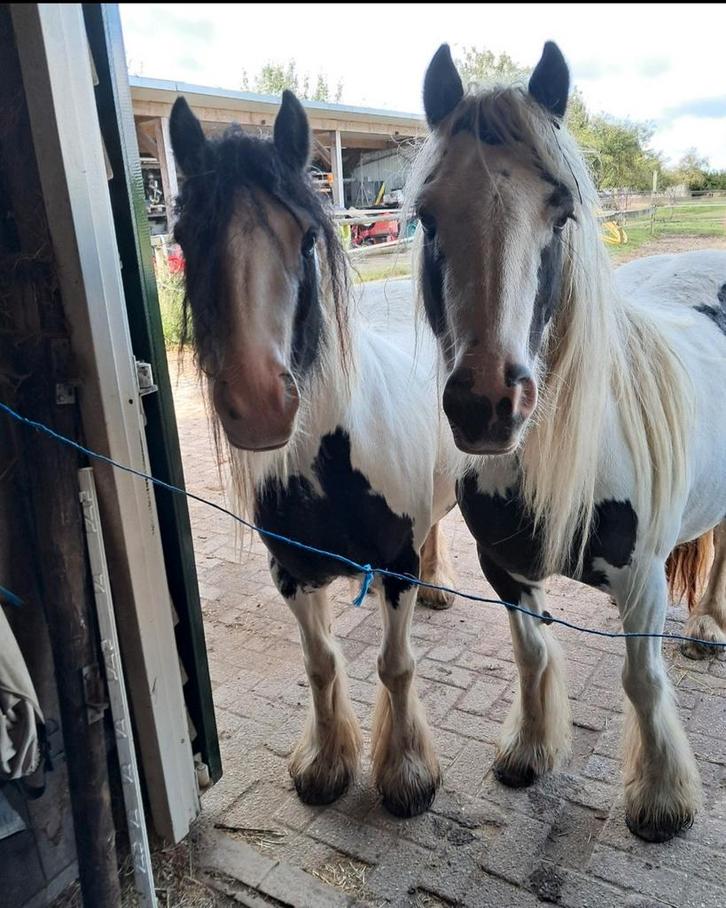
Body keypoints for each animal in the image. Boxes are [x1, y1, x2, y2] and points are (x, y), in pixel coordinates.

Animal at [168, 91, 459, 817]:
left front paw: (406, 773)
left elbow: (395, 665)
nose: (259, 403)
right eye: (184, 239)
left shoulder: (394, 567)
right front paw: (326, 764)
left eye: (304, 237)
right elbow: (321, 662)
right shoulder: (292, 572)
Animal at [408, 41, 726, 842]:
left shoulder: (641, 580)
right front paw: (529, 750)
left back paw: (709, 624)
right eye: (427, 216)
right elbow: (530, 653)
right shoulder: (503, 567)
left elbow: (642, 680)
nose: (489, 404)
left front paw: (661, 798)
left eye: (562, 210)